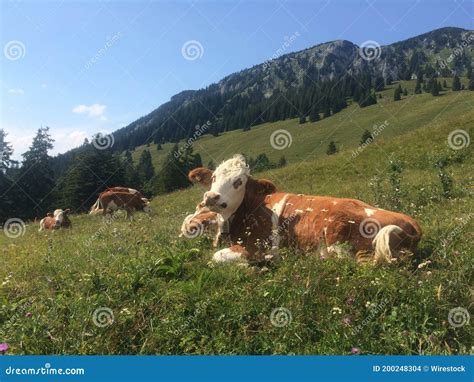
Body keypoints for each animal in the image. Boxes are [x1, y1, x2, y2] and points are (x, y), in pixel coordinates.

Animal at [188, 155, 422, 266]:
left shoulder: (256, 248)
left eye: (238, 182)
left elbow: (215, 257)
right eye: (214, 177)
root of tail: (413, 222)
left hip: (339, 240)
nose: (211, 197)